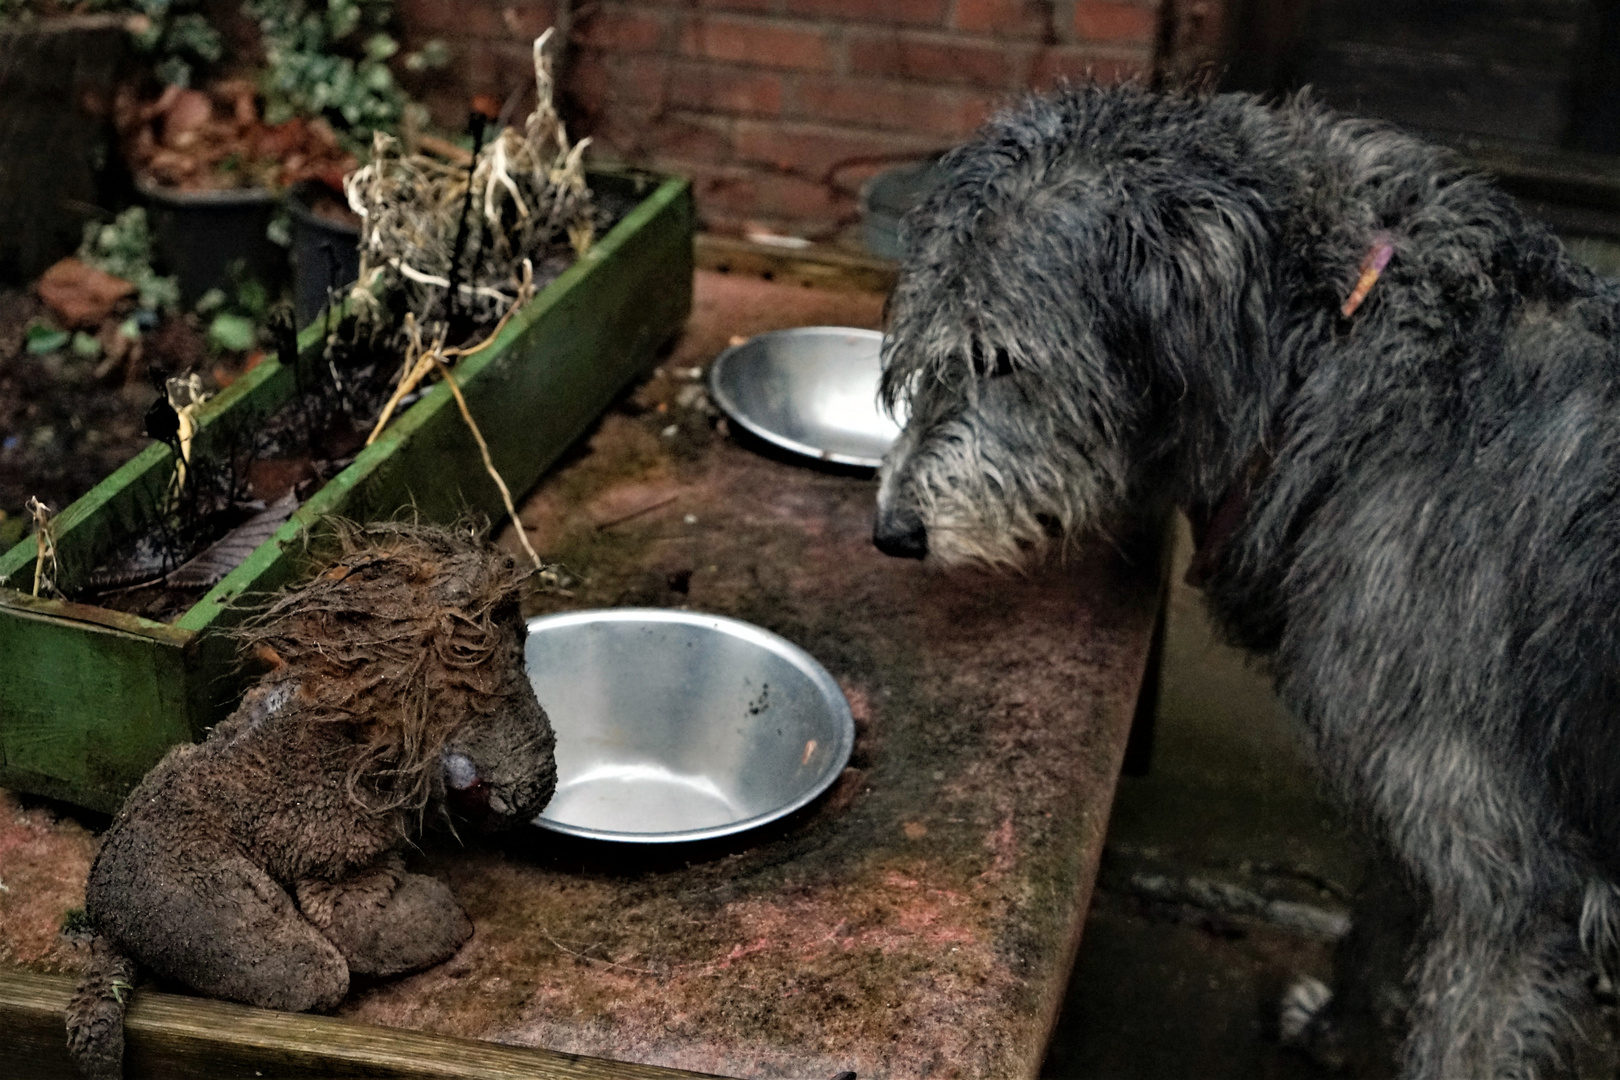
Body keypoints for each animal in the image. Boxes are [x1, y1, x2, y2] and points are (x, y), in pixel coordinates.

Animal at [66, 521, 557, 1075]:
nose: (531, 790)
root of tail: (103, 915)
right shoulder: (337, 866)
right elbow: (374, 930)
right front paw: (447, 914)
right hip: (202, 905)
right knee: (313, 974)